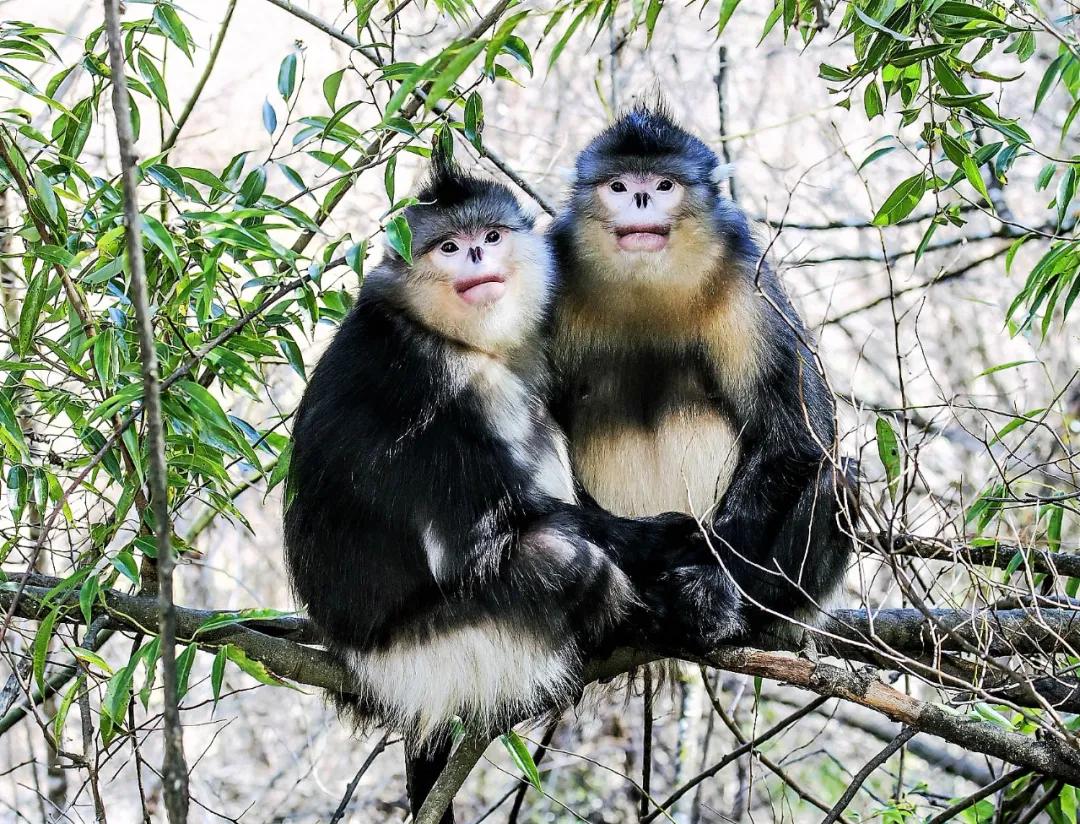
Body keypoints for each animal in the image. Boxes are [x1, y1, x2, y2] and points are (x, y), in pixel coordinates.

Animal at [287, 156, 743, 824]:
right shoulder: (438, 378)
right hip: (444, 652)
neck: (443, 330)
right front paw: (671, 547)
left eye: (492, 235)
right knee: (558, 558)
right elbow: (483, 537)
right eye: (449, 247)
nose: (477, 254)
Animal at [552, 107, 855, 639]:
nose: (641, 197)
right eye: (618, 184)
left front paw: (709, 583)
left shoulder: (748, 282)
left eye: (665, 184)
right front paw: (653, 540)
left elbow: (800, 435)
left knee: (838, 479)